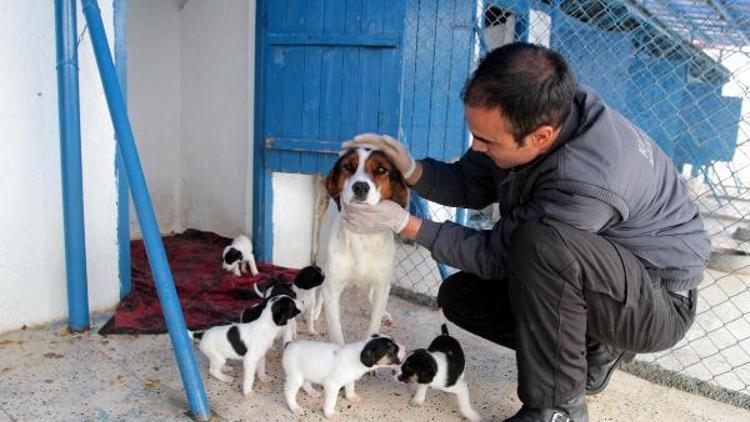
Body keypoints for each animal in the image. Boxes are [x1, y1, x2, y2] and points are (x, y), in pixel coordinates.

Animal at [284, 332, 412, 418]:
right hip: (295, 376)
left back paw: (312, 392)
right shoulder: (332, 385)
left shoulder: (350, 378)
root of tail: (289, 344)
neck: (357, 355)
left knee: (306, 383)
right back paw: (295, 408)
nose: (406, 349)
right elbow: (331, 401)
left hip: (305, 373)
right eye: (392, 349)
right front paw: (329, 413)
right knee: (289, 393)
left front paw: (351, 397)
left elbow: (350, 388)